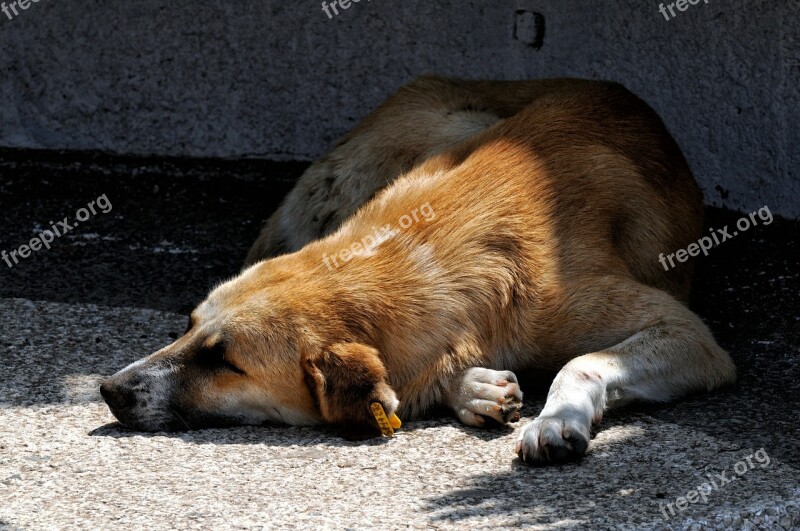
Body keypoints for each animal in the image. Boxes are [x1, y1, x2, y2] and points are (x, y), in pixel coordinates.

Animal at [97, 76, 736, 466]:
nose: (108, 389)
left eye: (224, 361)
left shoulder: (691, 337)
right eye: (187, 325)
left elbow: (581, 362)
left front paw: (556, 420)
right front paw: (467, 386)